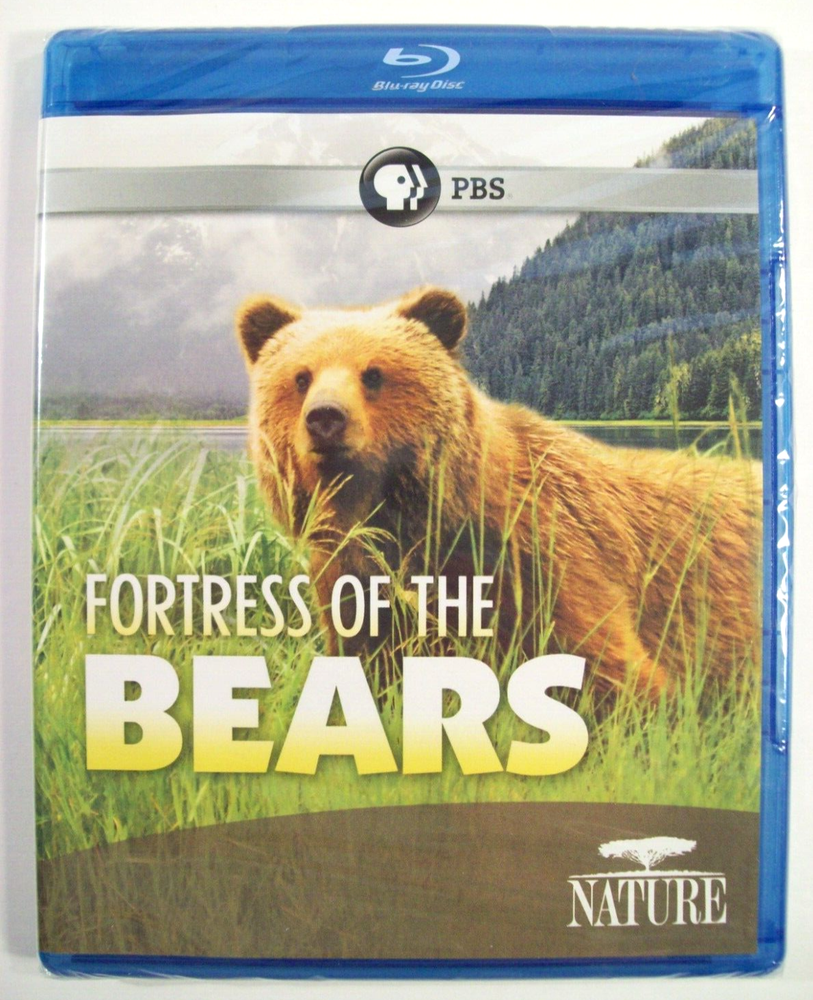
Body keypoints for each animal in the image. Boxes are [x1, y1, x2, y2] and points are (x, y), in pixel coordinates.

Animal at [236, 286, 761, 698]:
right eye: (300, 377)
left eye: (374, 373)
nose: (326, 417)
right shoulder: (354, 578)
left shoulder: (539, 557)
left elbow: (609, 668)